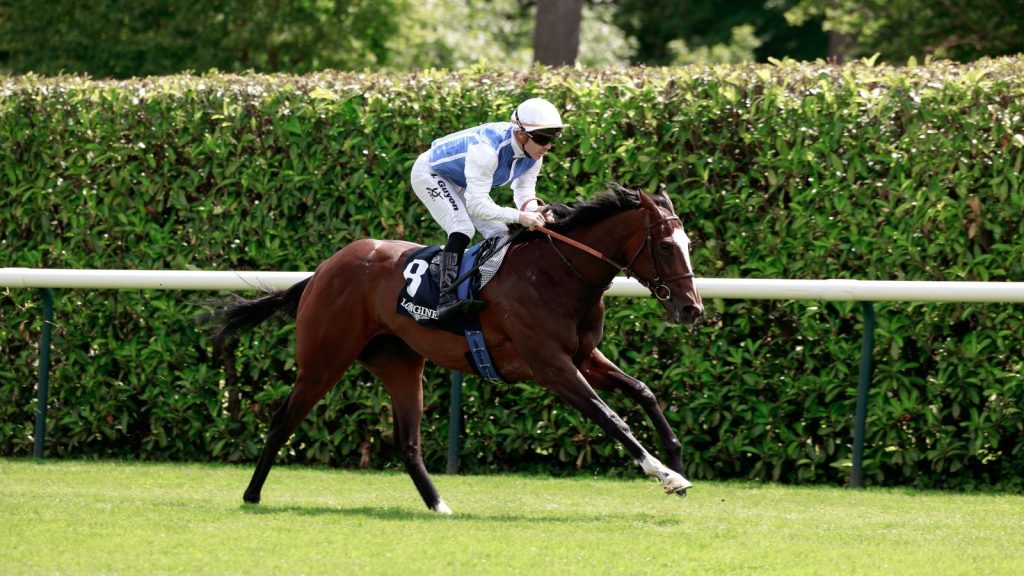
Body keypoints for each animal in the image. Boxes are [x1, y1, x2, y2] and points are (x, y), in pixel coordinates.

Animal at [207, 182, 704, 510]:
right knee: (282, 420)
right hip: (323, 360)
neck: (557, 274)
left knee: (407, 441)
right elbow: (610, 416)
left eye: (688, 242)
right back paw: (252, 493)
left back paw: (439, 505)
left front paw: (677, 456)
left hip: (400, 363)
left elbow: (642, 390)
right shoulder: (551, 365)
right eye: (665, 244)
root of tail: (321, 270)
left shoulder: (583, 357)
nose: (691, 308)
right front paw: (663, 473)